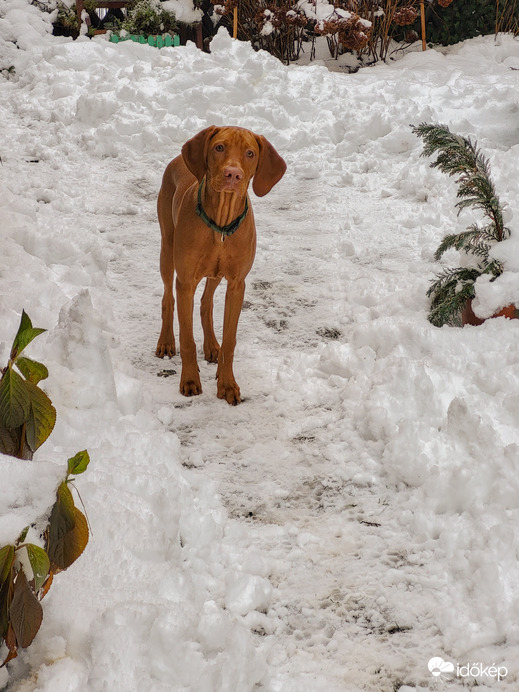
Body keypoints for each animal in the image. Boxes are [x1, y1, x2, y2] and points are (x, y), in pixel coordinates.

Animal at [156, 127, 286, 402]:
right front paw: (190, 379)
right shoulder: (185, 283)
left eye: (250, 153)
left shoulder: (237, 284)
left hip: (216, 274)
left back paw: (211, 345)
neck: (221, 226)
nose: (233, 174)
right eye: (219, 147)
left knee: (206, 302)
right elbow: (187, 339)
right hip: (167, 249)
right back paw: (166, 341)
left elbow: (230, 341)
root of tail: (178, 158)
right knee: (167, 297)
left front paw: (226, 383)